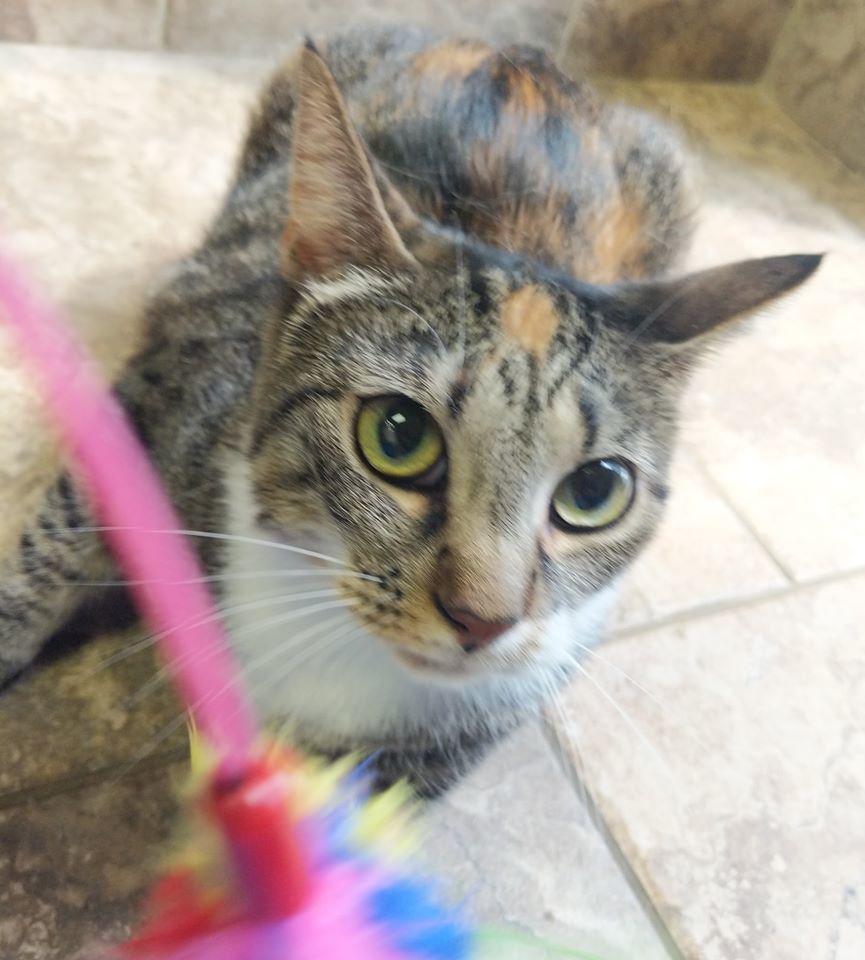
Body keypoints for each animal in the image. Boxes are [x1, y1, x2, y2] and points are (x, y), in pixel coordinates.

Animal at [0, 26, 816, 800]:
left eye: (594, 490)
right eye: (397, 436)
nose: (483, 620)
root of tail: (516, 51)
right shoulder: (164, 386)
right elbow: (51, 548)